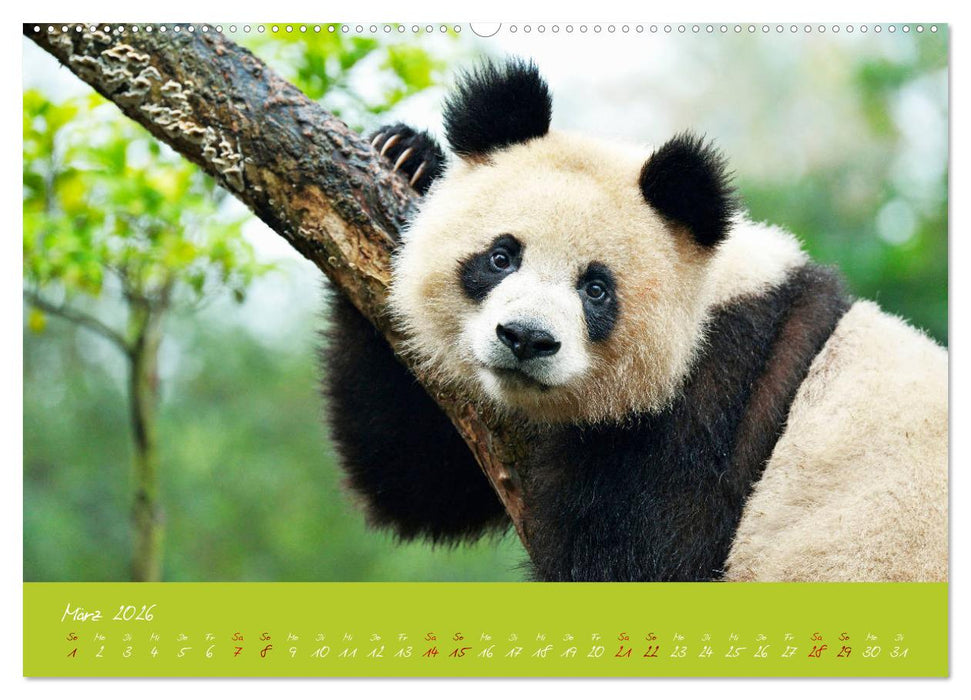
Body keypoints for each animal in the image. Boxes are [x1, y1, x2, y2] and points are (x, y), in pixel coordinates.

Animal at [322, 58, 948, 582]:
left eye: (596, 289)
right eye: (501, 257)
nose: (525, 339)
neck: (709, 299)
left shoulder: (715, 408)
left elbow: (641, 561)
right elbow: (419, 476)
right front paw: (407, 154)